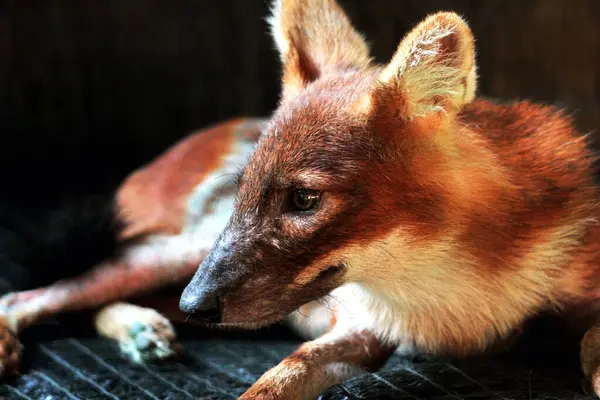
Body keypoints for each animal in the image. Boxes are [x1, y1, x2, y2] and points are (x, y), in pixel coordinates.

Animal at [178, 0, 600, 400]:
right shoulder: (363, 328)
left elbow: (589, 340)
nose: (192, 305)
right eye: (243, 188)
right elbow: (279, 375)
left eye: (304, 198)